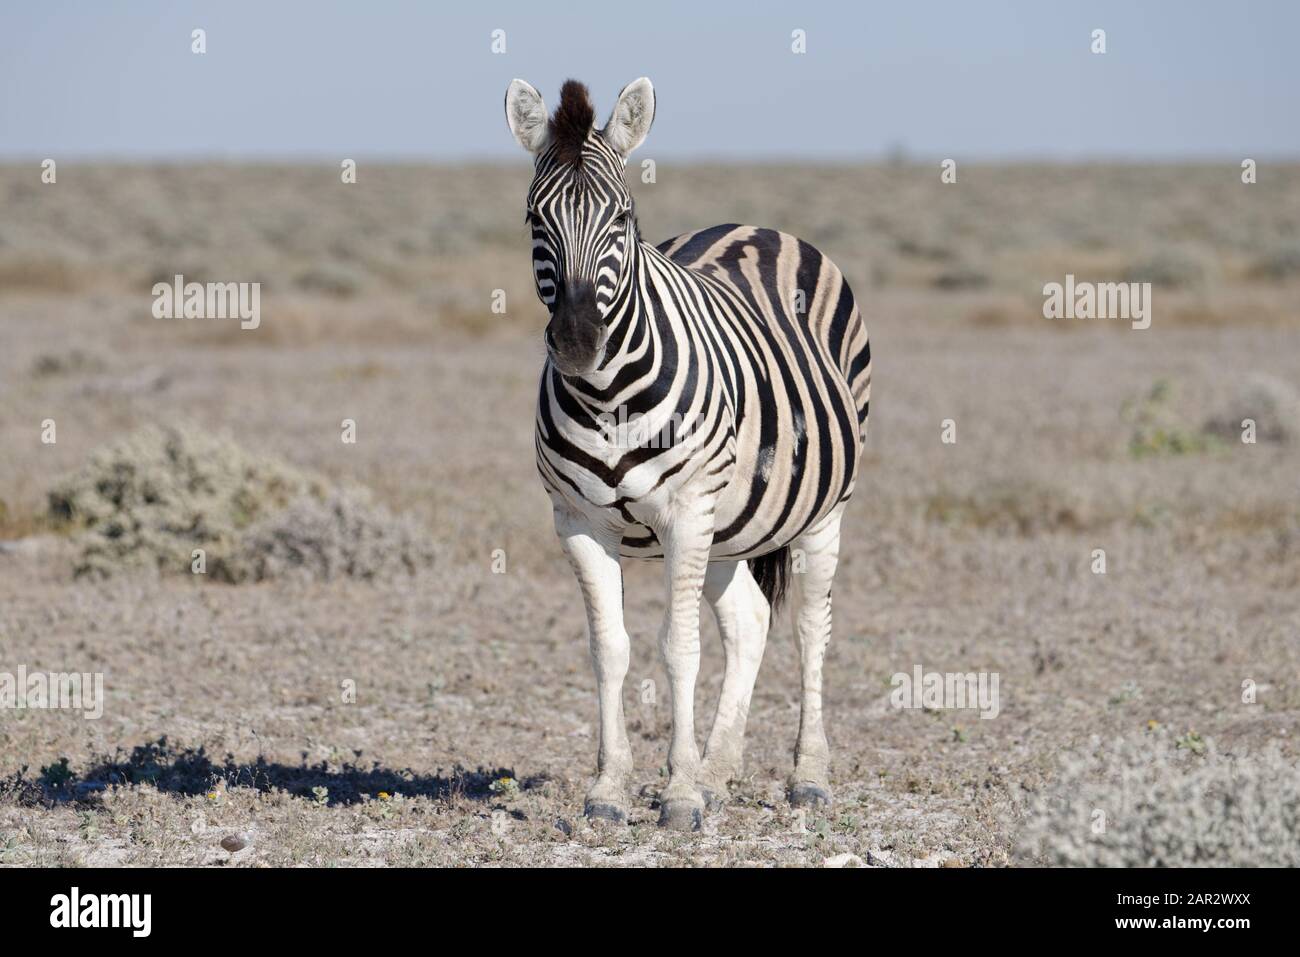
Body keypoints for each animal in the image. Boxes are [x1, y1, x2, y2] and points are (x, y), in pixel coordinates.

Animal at [506, 78, 873, 832]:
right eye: (533, 218)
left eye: (622, 217)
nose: (578, 342)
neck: (607, 396)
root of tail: (757, 226)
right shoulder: (577, 521)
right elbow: (609, 649)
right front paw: (610, 789)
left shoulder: (684, 511)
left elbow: (678, 648)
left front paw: (677, 796)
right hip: (730, 525)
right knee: (750, 624)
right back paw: (719, 771)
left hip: (820, 510)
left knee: (810, 629)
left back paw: (807, 777)